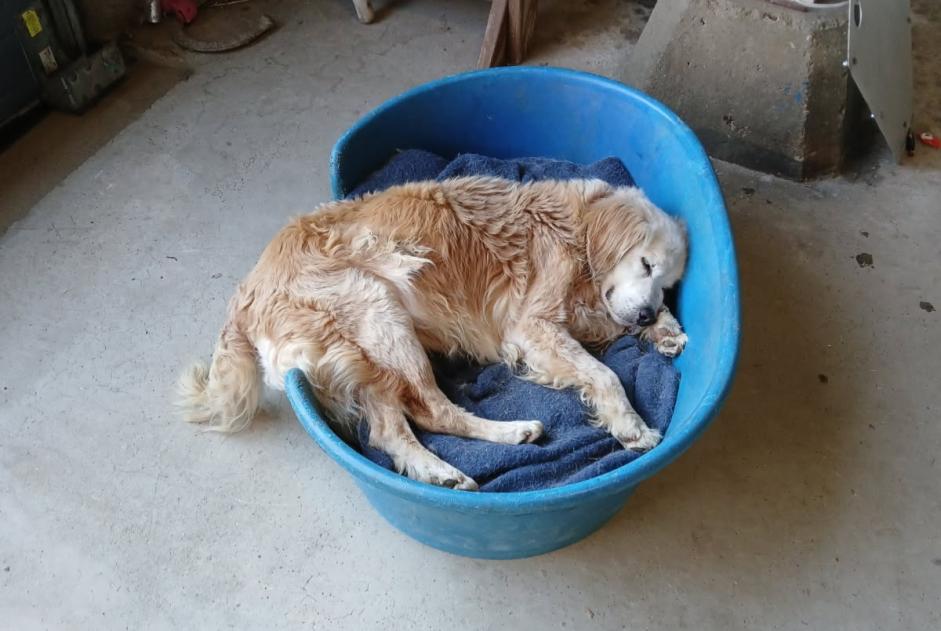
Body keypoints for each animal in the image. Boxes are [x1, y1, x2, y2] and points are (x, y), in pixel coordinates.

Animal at [178, 175, 692, 492]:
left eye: (667, 281)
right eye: (646, 264)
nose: (645, 315)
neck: (576, 226)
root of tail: (245, 293)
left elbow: (608, 323)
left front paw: (666, 329)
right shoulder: (533, 324)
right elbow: (605, 374)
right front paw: (630, 424)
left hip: (365, 356)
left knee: (390, 433)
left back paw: (441, 470)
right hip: (380, 313)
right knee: (434, 410)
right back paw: (512, 433)